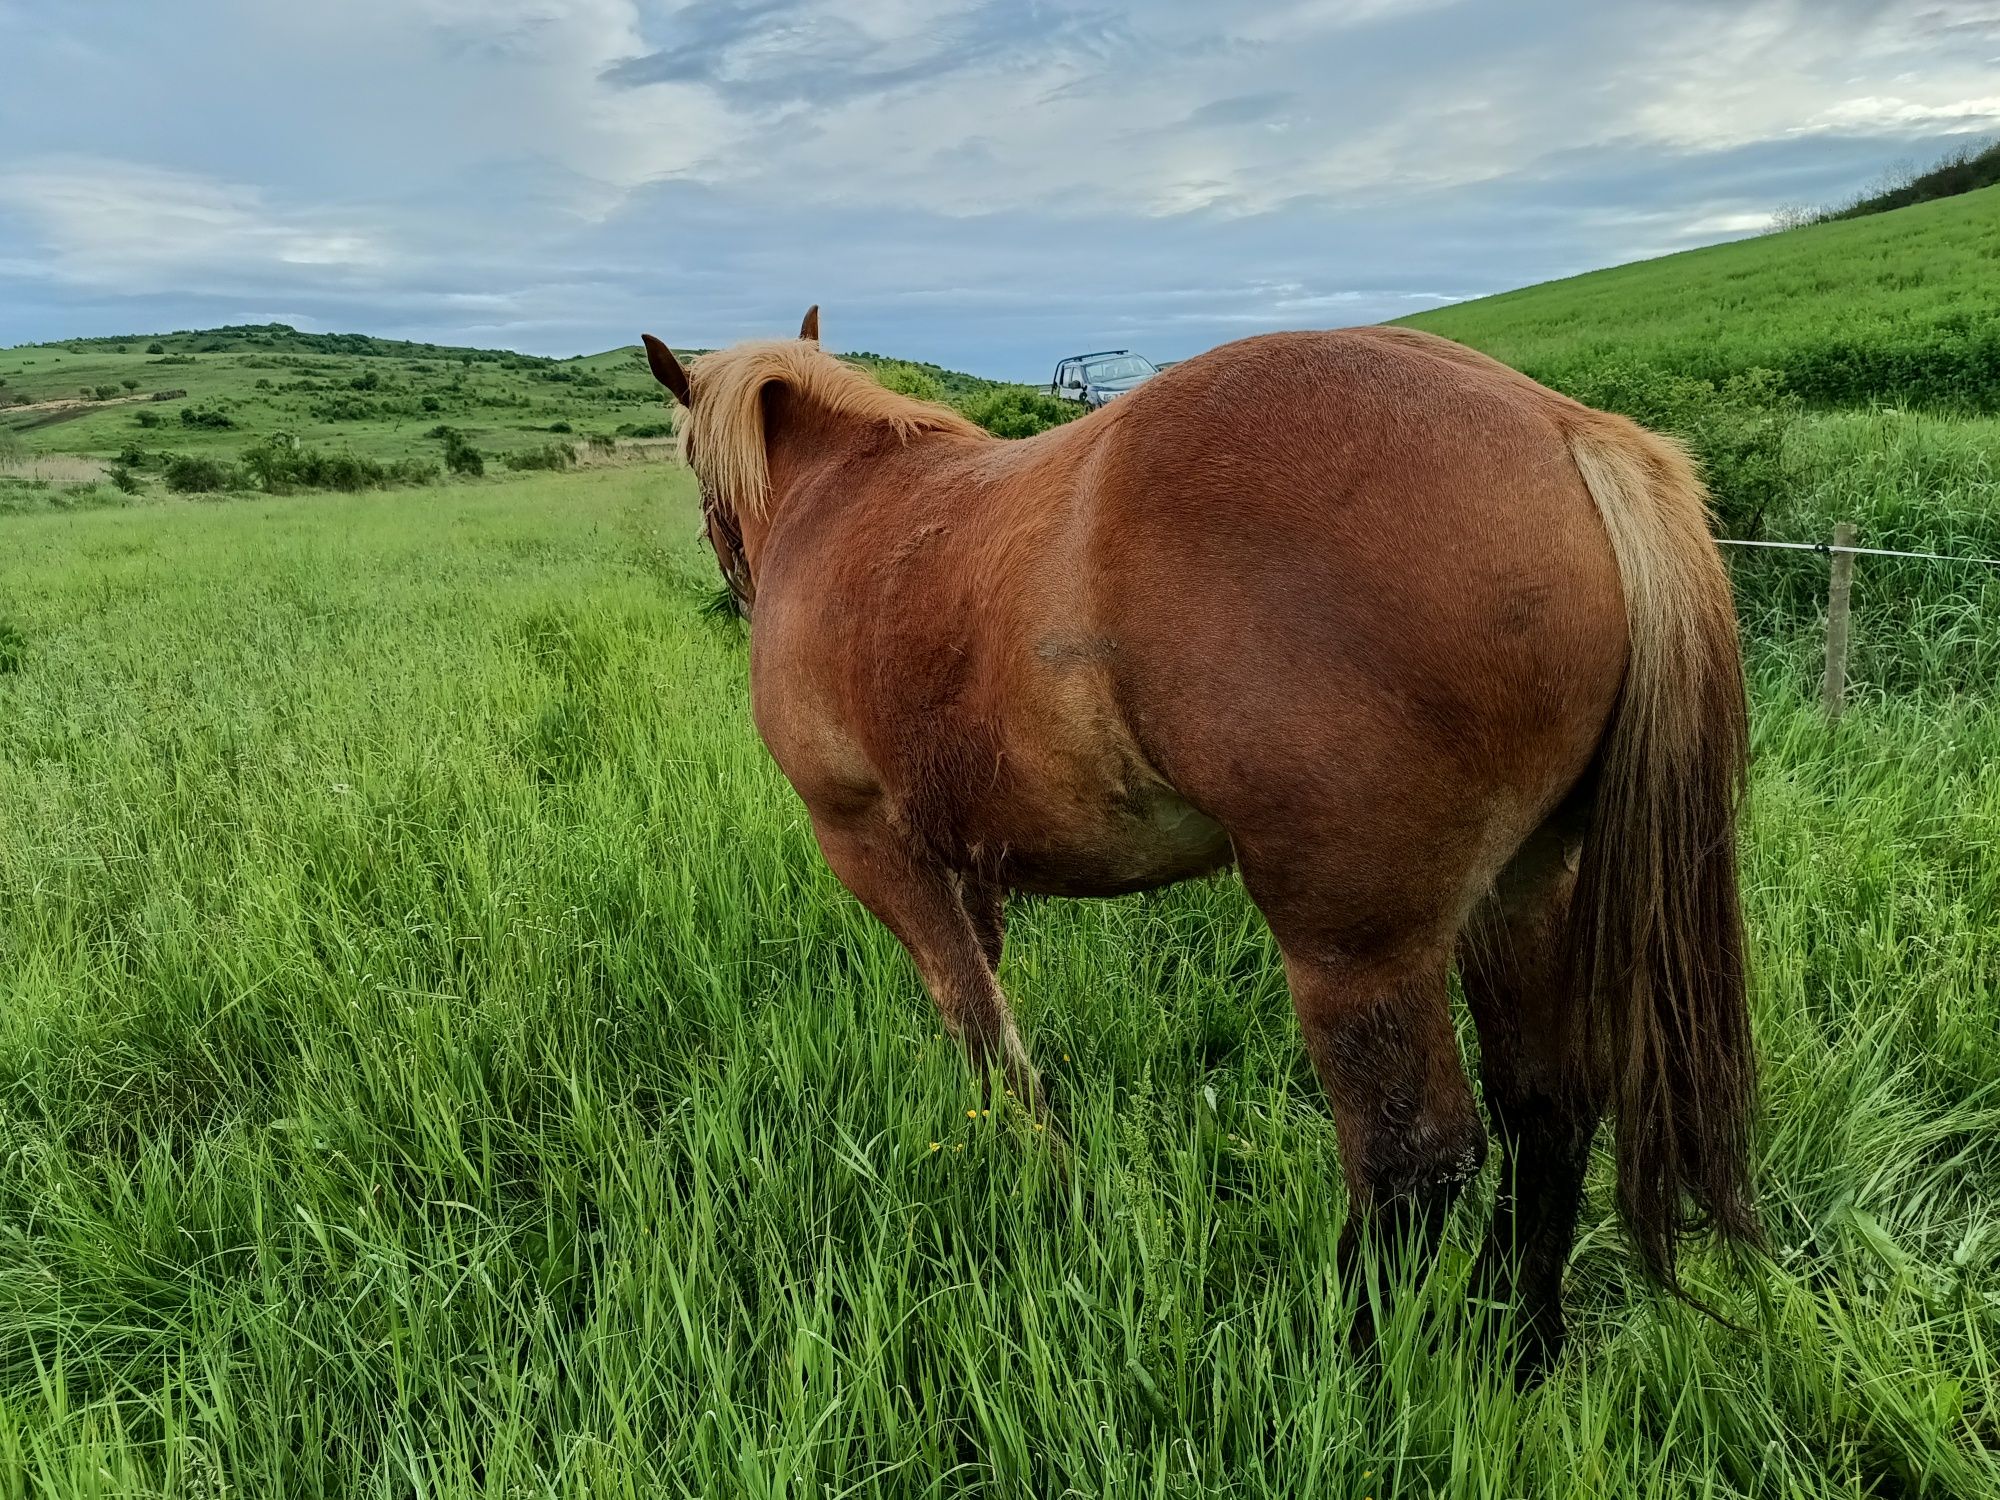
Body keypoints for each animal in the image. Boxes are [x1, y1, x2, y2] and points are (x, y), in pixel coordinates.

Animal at [648, 306, 1760, 1376]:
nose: (730, 589)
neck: (841, 503)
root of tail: (1569, 433)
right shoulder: (965, 859)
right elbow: (986, 990)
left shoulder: (870, 843)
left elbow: (977, 1024)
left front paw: (1035, 1168)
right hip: (1519, 894)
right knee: (1548, 1108)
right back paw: (1517, 1342)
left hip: (1354, 946)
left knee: (1413, 1161)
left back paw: (1347, 1374)